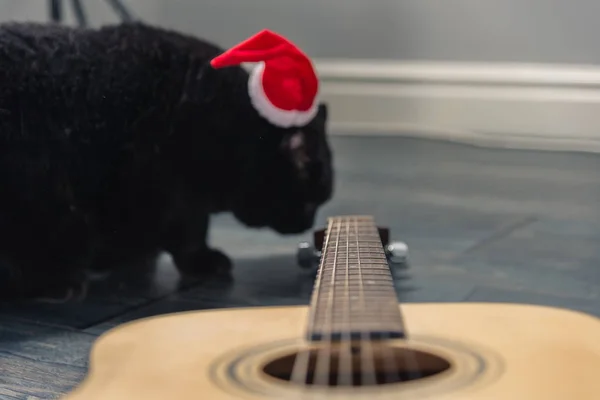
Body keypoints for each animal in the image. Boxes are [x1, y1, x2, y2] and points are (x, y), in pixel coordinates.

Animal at [0, 21, 332, 300]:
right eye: (308, 202)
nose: (307, 223)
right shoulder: (173, 192)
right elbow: (189, 235)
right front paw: (202, 261)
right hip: (45, 194)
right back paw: (60, 284)